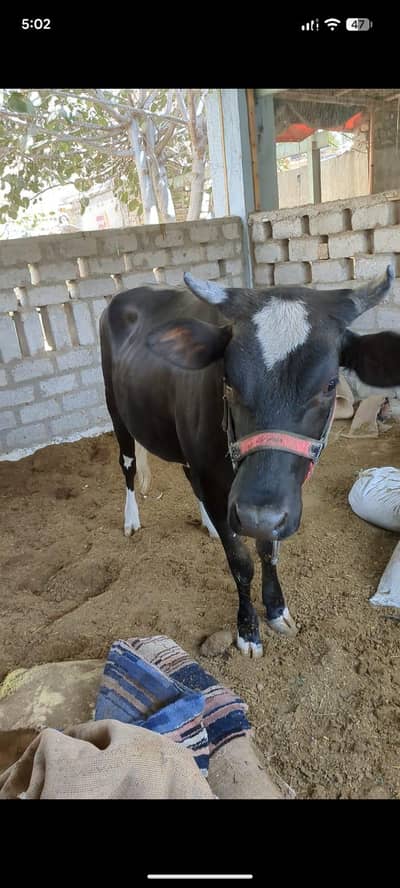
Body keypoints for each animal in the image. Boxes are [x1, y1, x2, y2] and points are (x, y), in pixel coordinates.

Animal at [100, 265, 397, 658]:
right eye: (228, 380)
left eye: (330, 385)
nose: (258, 516)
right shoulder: (222, 487)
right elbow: (240, 562)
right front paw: (248, 630)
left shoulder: (267, 504)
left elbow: (268, 551)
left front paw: (276, 609)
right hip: (115, 409)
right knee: (129, 464)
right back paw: (132, 519)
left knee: (186, 474)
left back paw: (207, 524)